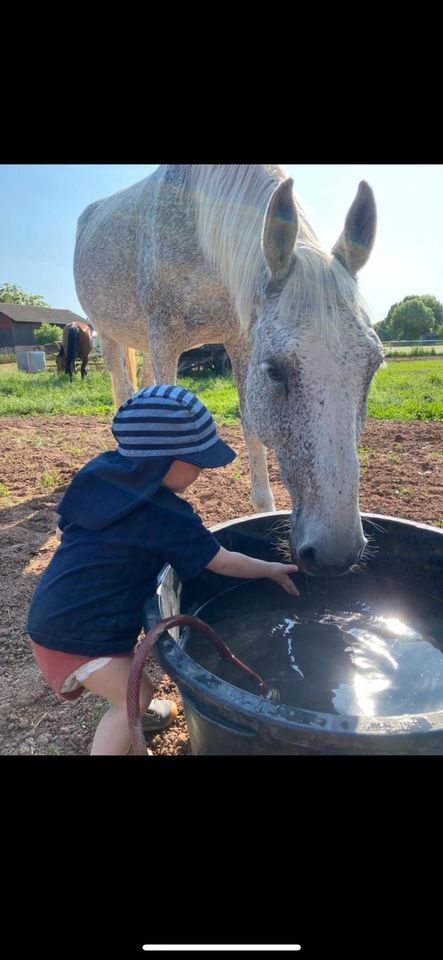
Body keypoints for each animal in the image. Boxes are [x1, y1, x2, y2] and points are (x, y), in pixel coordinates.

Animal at [73, 166, 386, 572]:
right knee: (123, 387)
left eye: (374, 365)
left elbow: (251, 428)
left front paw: (263, 508)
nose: (336, 553)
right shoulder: (165, 338)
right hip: (109, 332)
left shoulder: (240, 339)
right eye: (274, 370)